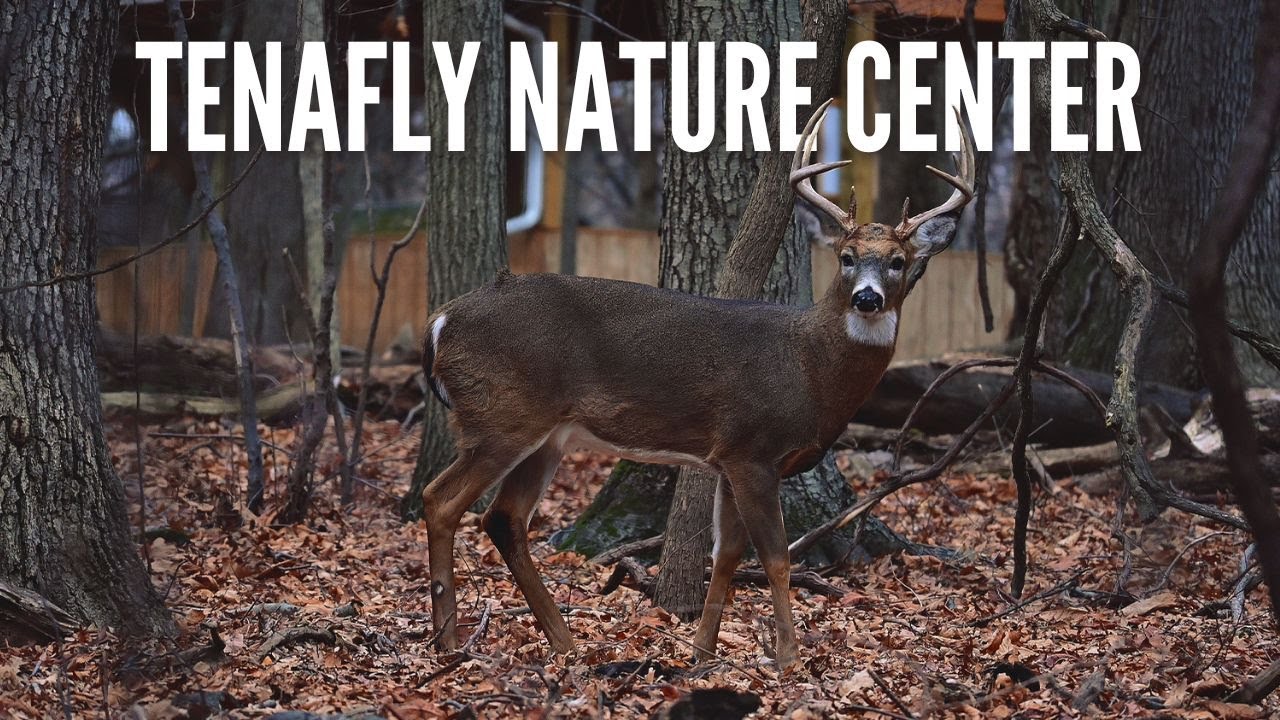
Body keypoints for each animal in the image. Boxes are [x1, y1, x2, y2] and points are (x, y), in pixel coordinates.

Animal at [418, 99, 976, 670]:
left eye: (898, 262)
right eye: (847, 257)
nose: (867, 298)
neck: (809, 368)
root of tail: (441, 322)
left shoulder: (729, 459)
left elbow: (725, 555)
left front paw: (703, 653)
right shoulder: (753, 449)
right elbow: (776, 557)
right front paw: (790, 659)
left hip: (547, 435)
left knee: (503, 519)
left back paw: (563, 642)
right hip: (503, 414)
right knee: (440, 499)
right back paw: (449, 640)